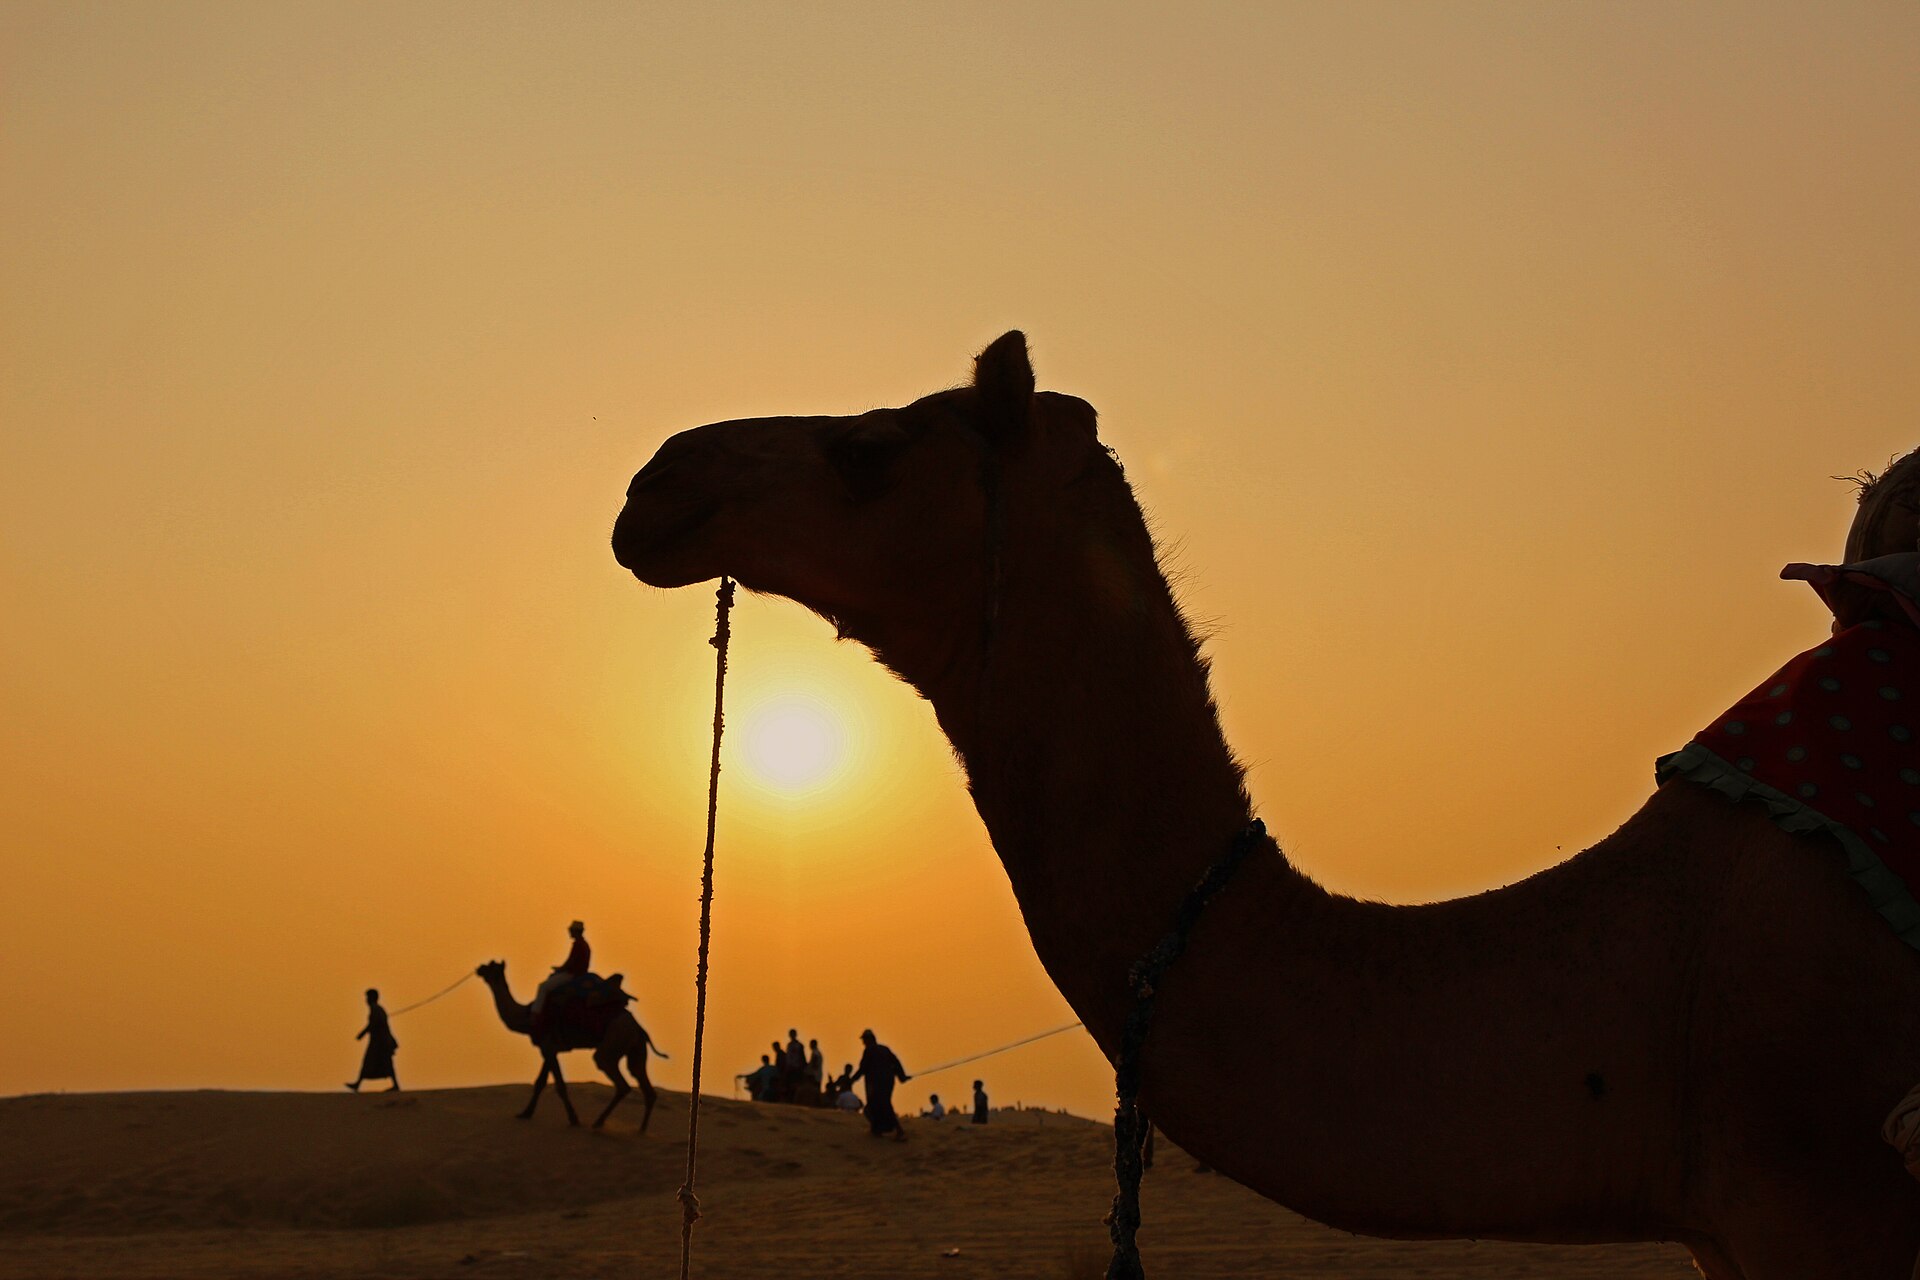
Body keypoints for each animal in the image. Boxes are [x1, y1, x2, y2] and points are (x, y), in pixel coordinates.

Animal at [475, 959, 666, 1132]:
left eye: (491, 966)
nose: (479, 968)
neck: (527, 1017)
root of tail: (638, 1028)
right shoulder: (549, 1048)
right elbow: (540, 1082)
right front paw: (525, 1113)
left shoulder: (548, 1046)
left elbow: (560, 1086)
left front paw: (574, 1119)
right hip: (635, 1049)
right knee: (643, 1082)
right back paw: (641, 1130)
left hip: (611, 1044)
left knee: (619, 1081)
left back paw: (598, 1122)